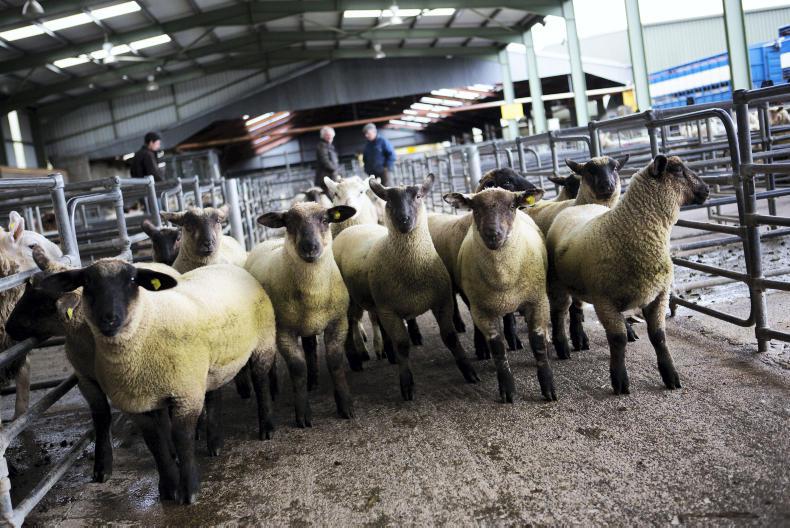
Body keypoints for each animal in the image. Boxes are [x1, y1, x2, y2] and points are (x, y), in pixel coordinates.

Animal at [37, 260, 277, 504]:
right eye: (87, 282)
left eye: (132, 280)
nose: (109, 318)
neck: (146, 326)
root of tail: (224, 265)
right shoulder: (136, 403)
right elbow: (155, 443)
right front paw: (168, 488)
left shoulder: (185, 393)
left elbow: (182, 438)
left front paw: (189, 491)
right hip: (211, 366)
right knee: (213, 395)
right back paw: (215, 442)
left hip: (263, 342)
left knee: (260, 382)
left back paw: (266, 427)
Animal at [247, 201, 357, 426]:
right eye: (289, 222)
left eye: (325, 220)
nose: (310, 247)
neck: (313, 294)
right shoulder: (284, 331)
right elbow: (298, 368)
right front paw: (303, 414)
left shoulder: (338, 322)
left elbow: (334, 361)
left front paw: (345, 405)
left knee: (309, 348)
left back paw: (313, 382)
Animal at [333, 174, 479, 400]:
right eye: (388, 200)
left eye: (418, 196)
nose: (404, 220)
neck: (413, 269)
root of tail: (351, 227)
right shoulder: (390, 310)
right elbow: (402, 344)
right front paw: (407, 384)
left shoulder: (442, 301)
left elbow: (450, 337)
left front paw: (469, 371)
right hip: (350, 300)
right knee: (350, 325)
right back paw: (355, 359)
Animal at [444, 188, 556, 403]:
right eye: (475, 209)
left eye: (512, 206)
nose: (493, 234)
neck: (503, 278)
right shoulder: (482, 310)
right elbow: (497, 348)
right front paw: (508, 390)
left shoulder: (537, 300)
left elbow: (537, 342)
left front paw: (548, 388)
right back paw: (482, 348)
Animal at [546, 155, 709, 394]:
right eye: (678, 170)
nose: (707, 189)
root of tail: (583, 205)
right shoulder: (603, 301)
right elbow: (617, 339)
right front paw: (620, 380)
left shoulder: (658, 295)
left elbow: (659, 337)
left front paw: (670, 375)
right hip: (558, 283)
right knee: (559, 313)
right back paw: (562, 346)